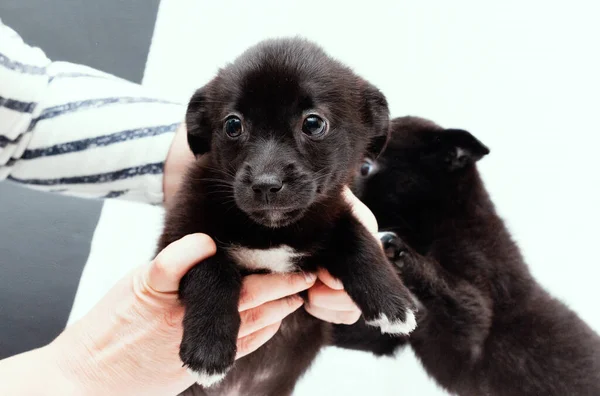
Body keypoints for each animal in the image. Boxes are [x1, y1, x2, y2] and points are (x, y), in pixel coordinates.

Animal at [159, 38, 418, 396]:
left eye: (313, 123)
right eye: (233, 125)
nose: (266, 184)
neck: (272, 231)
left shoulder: (330, 212)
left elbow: (358, 239)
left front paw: (393, 301)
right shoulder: (183, 234)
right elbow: (211, 270)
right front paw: (208, 349)